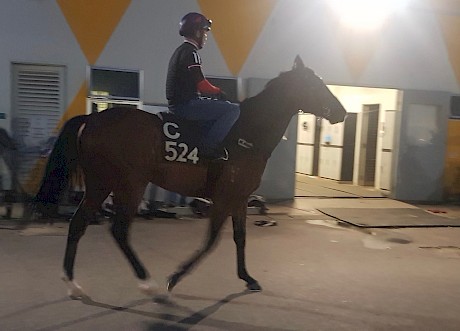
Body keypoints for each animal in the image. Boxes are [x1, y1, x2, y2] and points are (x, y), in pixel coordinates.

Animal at [31, 55, 344, 300]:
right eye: (314, 84)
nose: (341, 112)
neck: (247, 134)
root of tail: (91, 120)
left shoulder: (239, 198)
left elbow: (240, 238)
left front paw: (247, 277)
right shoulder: (224, 198)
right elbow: (211, 240)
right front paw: (176, 276)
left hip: (101, 185)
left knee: (79, 225)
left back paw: (73, 284)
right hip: (129, 185)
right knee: (118, 230)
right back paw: (147, 282)